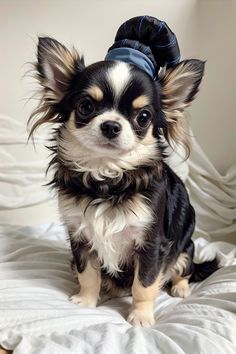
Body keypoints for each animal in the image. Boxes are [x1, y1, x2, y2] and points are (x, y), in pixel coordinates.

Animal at [28, 15, 218, 326]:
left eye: (143, 117)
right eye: (85, 107)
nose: (111, 125)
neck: (108, 179)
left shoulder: (151, 244)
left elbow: (144, 284)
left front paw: (141, 316)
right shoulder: (80, 237)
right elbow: (88, 273)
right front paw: (86, 301)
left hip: (185, 249)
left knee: (184, 270)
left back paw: (180, 288)